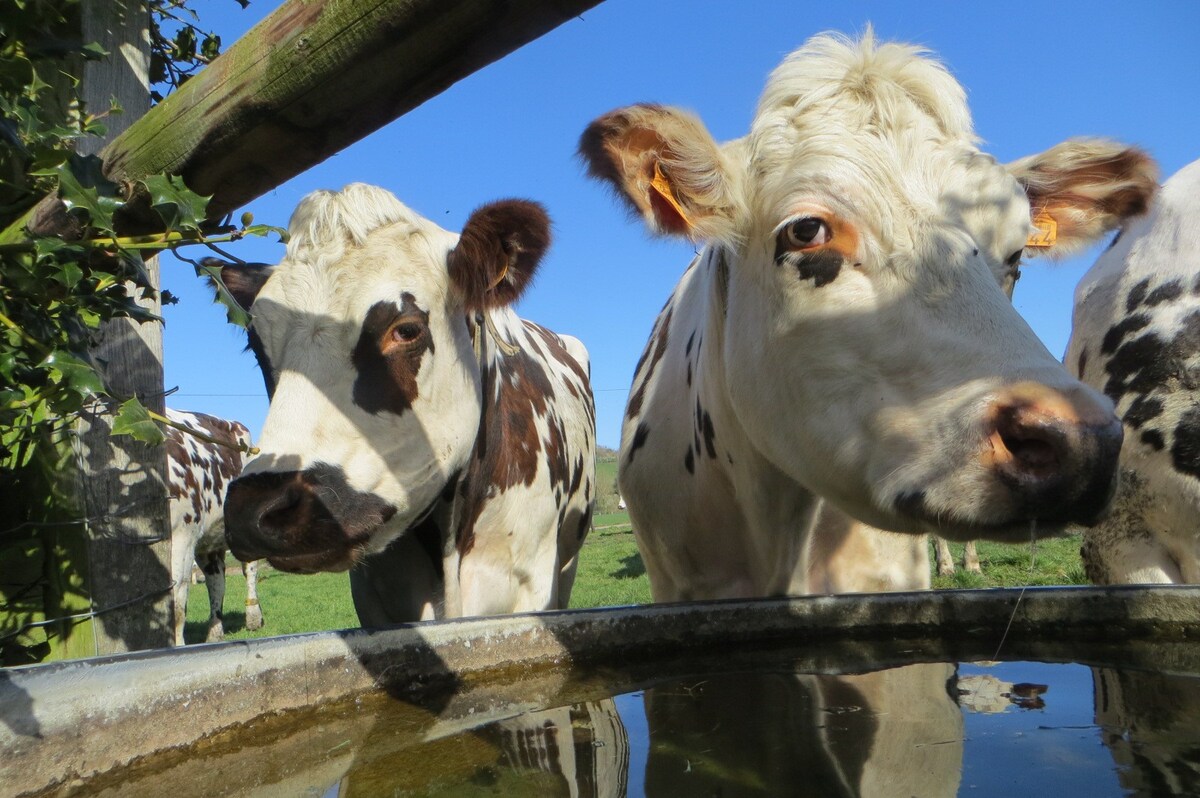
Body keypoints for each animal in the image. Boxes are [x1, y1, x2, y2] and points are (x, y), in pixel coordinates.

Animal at [164, 408, 262, 643]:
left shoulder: (182, 534)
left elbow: (177, 599)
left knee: (250, 569)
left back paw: (253, 617)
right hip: (208, 542)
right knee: (216, 580)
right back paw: (215, 632)